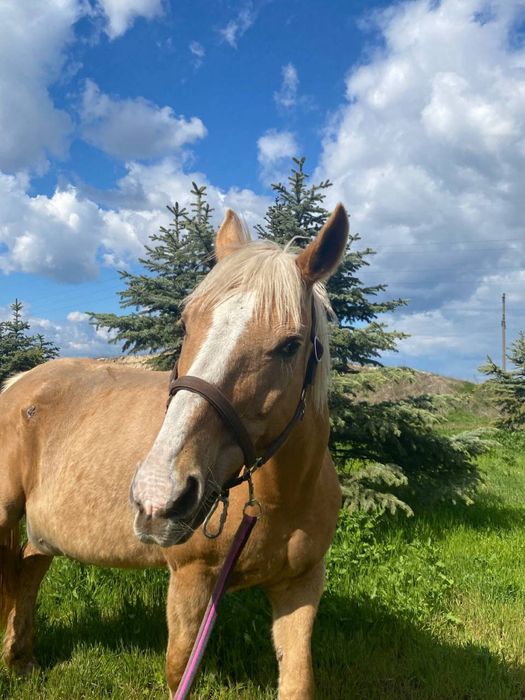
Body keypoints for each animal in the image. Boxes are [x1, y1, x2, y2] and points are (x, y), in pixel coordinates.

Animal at [0, 203, 348, 699]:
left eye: (290, 345)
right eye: (186, 324)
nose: (158, 497)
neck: (281, 501)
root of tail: (18, 383)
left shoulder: (300, 586)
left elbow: (298, 680)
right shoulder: (190, 580)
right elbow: (178, 667)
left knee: (28, 571)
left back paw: (21, 660)